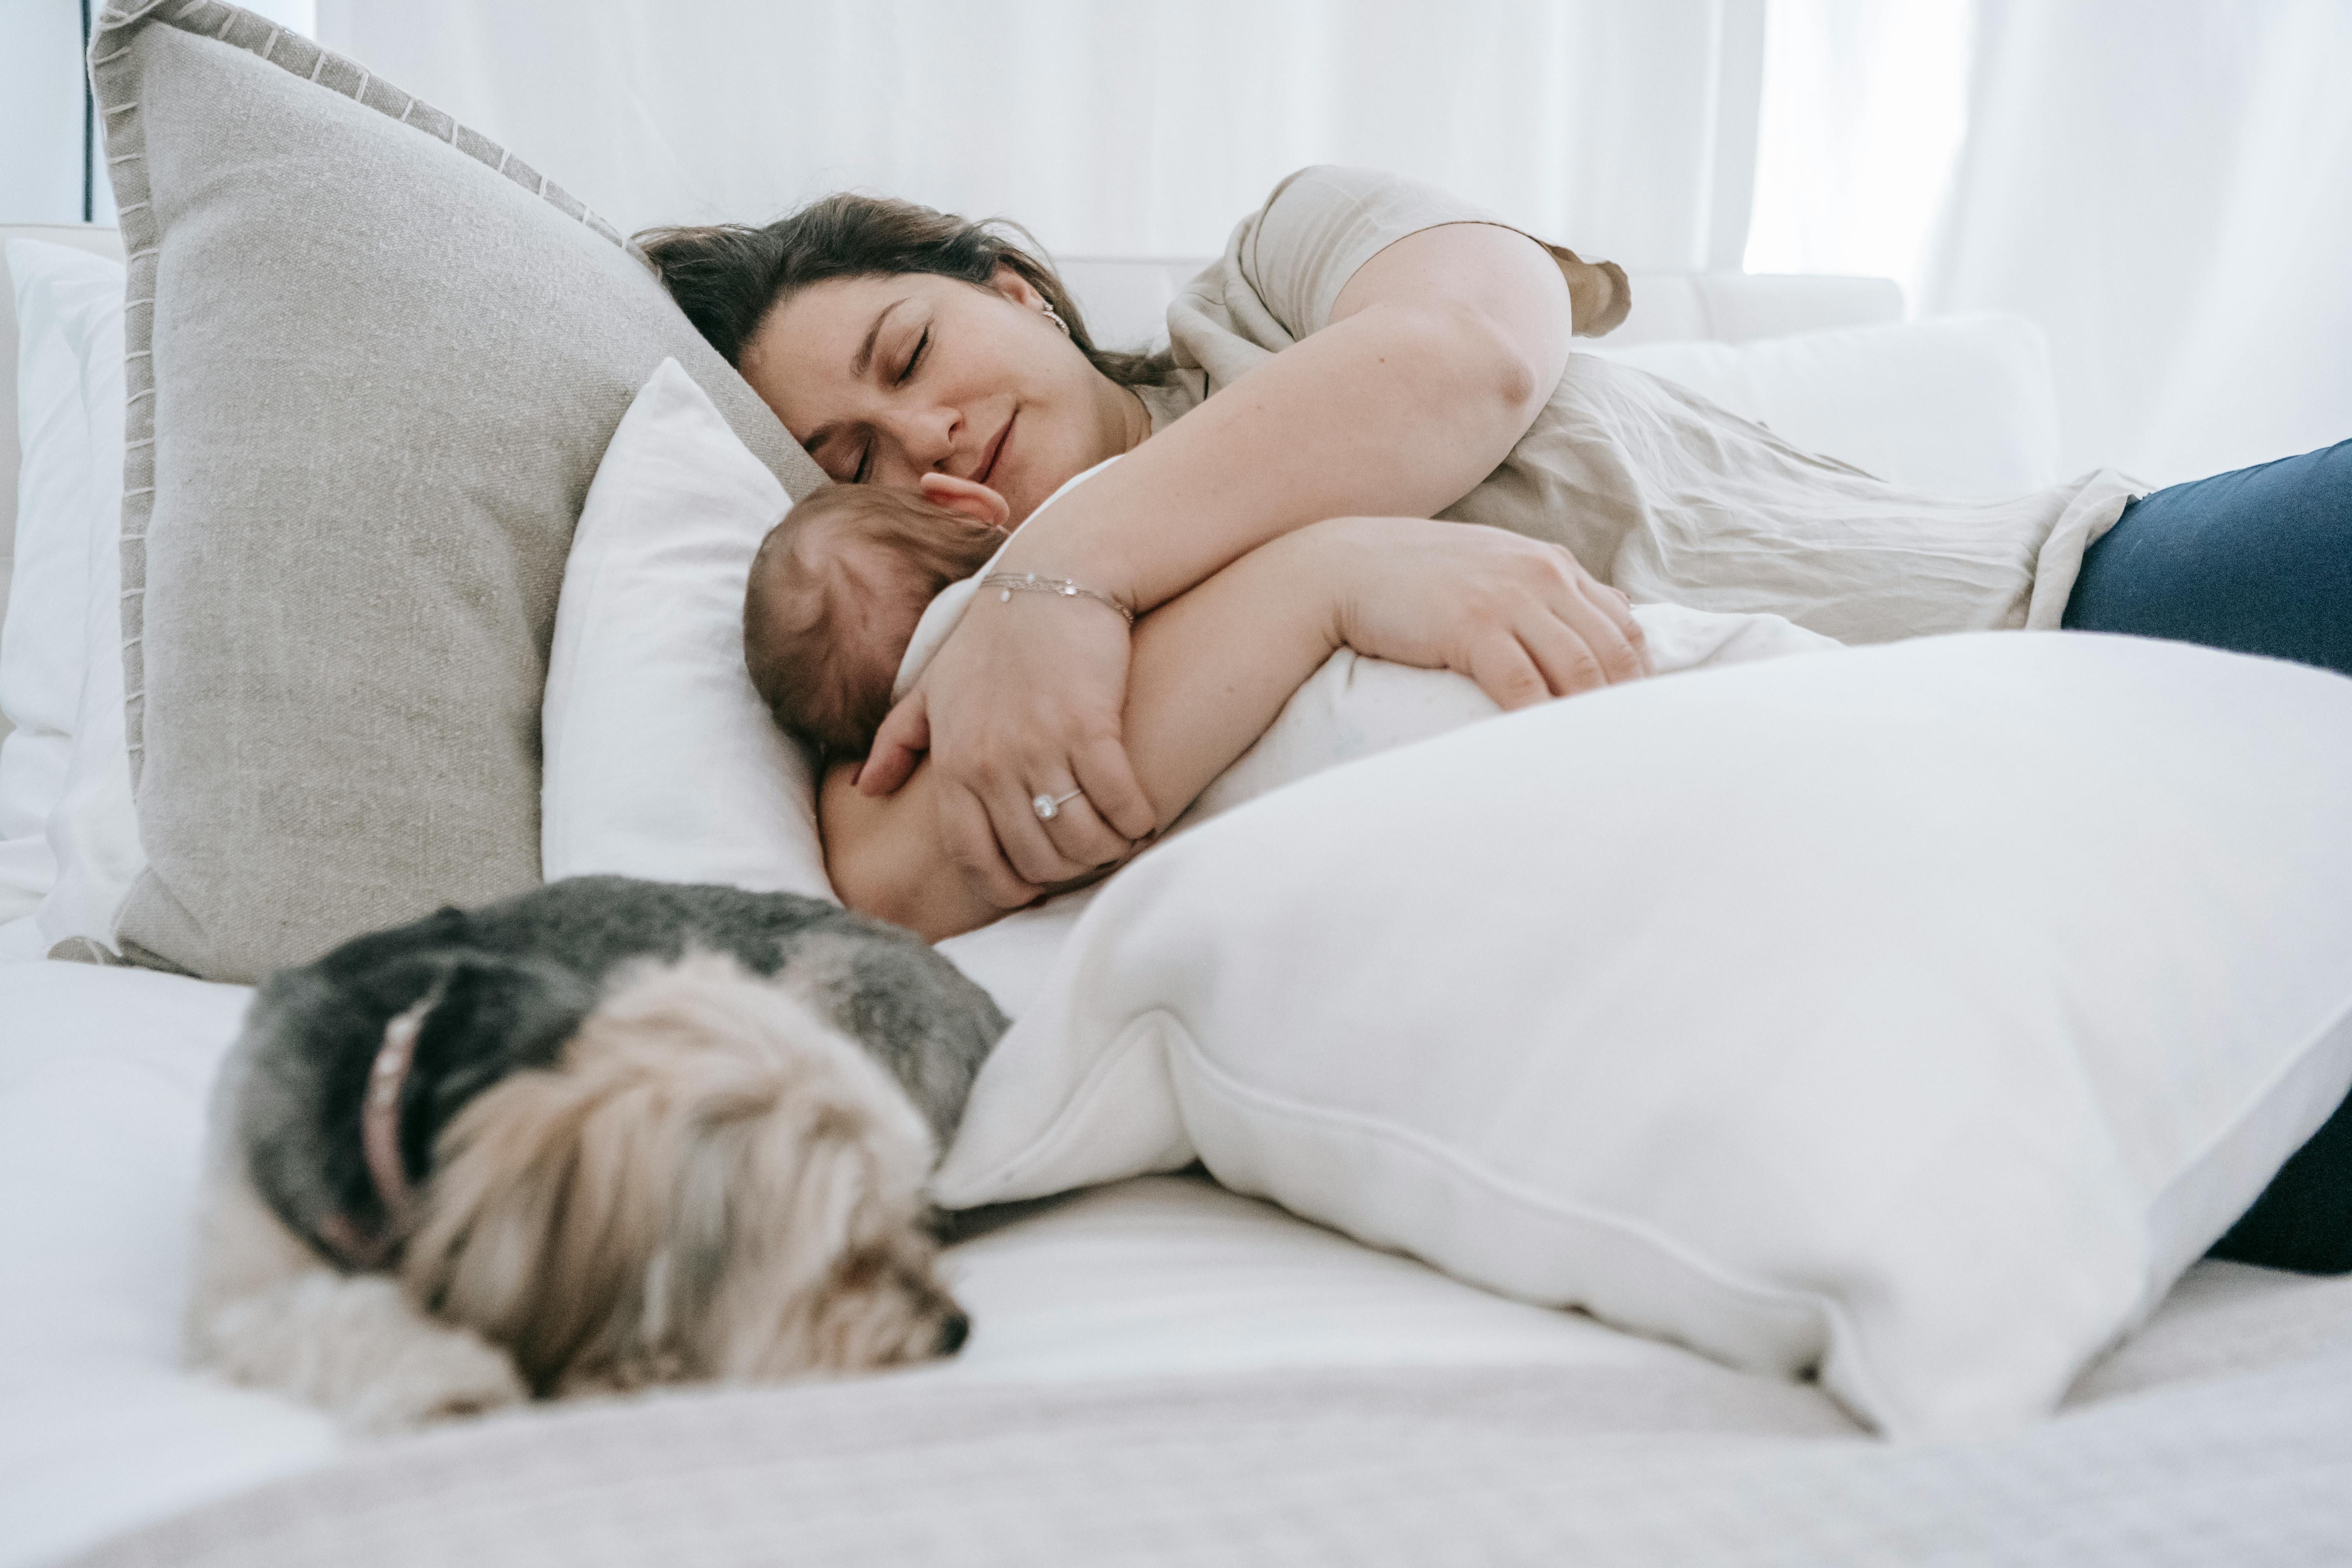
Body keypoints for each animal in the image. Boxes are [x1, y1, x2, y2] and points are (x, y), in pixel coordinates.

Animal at [174, 879, 1002, 1429]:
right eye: (843, 1253)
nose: (957, 1329)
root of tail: (991, 1006)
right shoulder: (239, 1274)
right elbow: (310, 1313)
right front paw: (446, 1373)